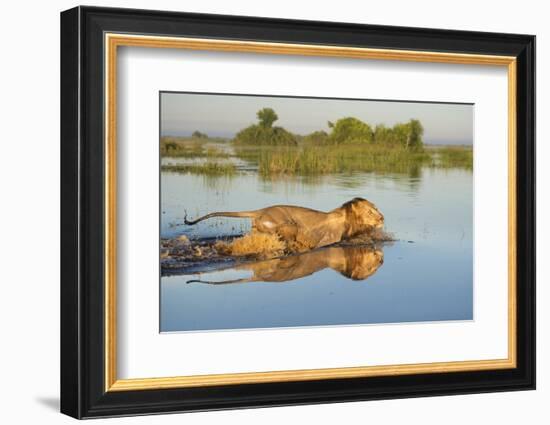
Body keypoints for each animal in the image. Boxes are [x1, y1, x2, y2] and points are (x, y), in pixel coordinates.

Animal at [185, 196, 384, 250]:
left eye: (377, 208)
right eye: (370, 211)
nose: (382, 218)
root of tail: (261, 210)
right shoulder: (328, 240)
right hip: (287, 224)